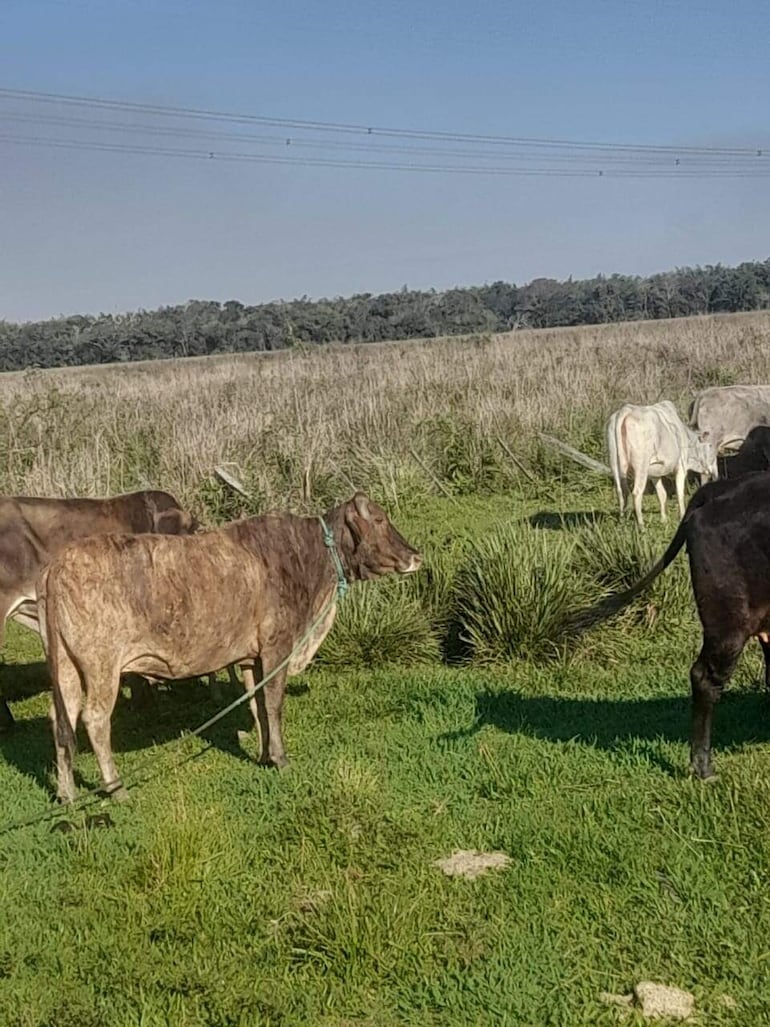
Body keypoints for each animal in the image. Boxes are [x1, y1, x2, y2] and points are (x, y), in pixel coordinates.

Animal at [39, 490, 425, 801]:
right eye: (380, 519)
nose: (416, 555)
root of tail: (58, 565)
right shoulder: (277, 646)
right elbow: (273, 704)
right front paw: (281, 759)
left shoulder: (251, 658)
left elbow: (257, 705)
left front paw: (264, 755)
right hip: (101, 665)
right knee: (94, 718)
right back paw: (117, 789)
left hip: (65, 666)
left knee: (61, 719)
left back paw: (67, 793)